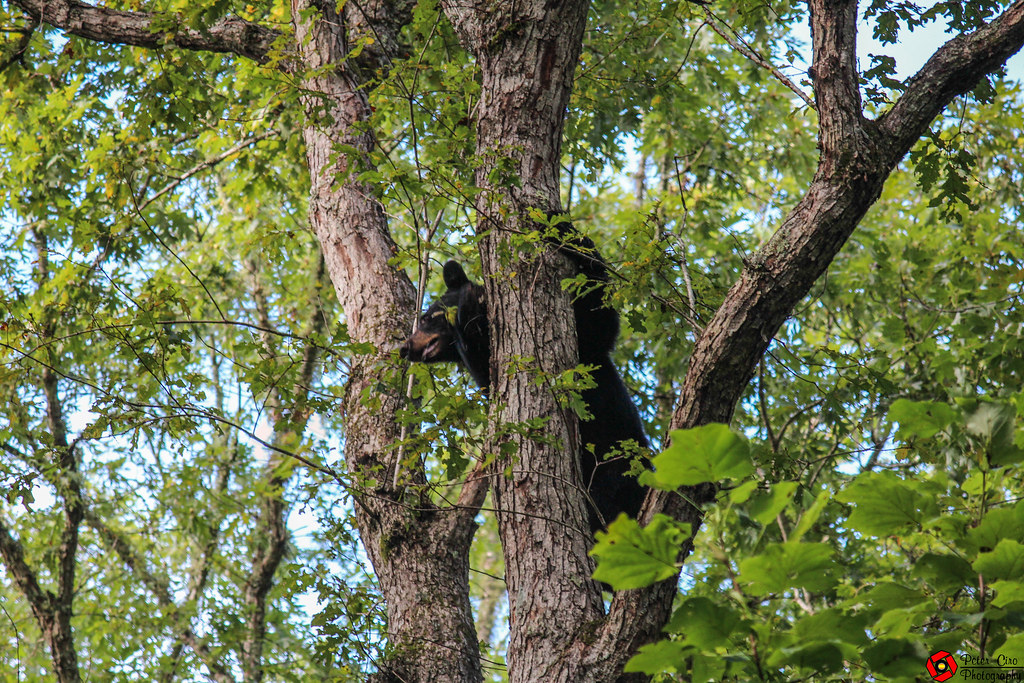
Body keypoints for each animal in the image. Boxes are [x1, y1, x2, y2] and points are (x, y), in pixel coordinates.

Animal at [399, 232, 647, 536]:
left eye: (425, 318)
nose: (404, 348)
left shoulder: (589, 352)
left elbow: (598, 314)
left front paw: (559, 229)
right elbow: (489, 379)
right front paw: (467, 318)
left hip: (619, 461)